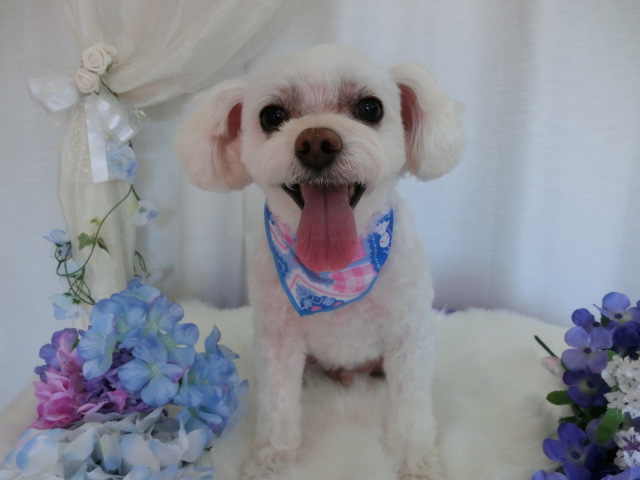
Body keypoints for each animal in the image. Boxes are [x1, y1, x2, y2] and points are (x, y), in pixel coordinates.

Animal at [176, 44, 463, 479]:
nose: (315, 142)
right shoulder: (278, 340)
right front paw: (272, 461)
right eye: (271, 116)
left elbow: (411, 408)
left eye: (370, 108)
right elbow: (278, 407)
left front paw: (416, 460)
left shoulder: (408, 333)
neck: (336, 271)